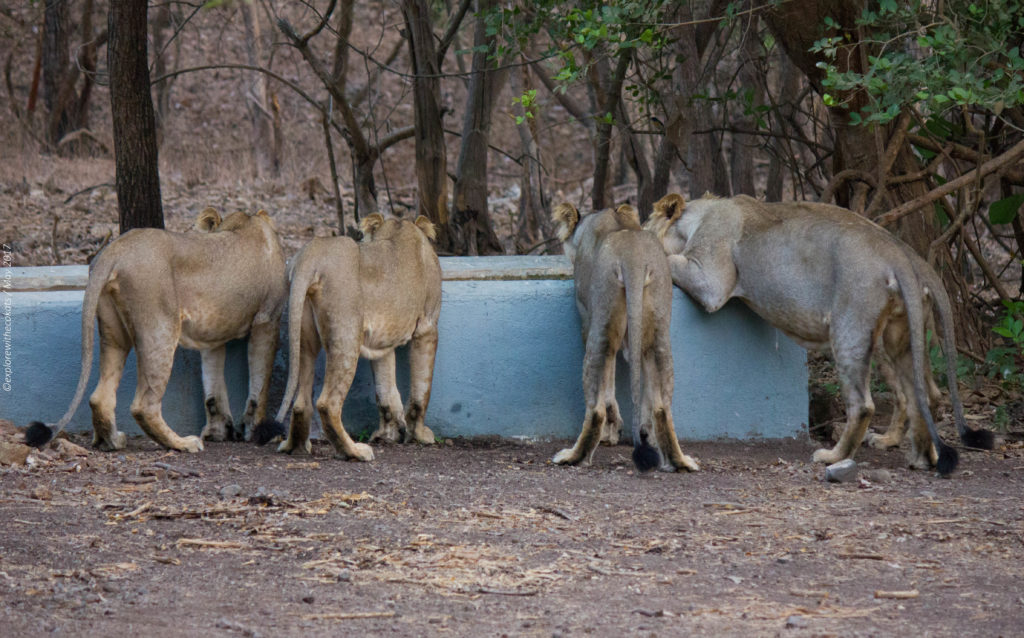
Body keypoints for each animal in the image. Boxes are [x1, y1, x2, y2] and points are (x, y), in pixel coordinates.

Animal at [24, 209, 288, 454]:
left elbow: (214, 388)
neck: (247, 222)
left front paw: (218, 431)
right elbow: (260, 385)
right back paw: (183, 443)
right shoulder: (268, 319)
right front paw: (260, 431)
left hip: (113, 333)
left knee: (100, 396)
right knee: (144, 405)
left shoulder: (212, 336)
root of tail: (115, 250)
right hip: (161, 329)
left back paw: (112, 441)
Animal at [258, 213, 442, 458]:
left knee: (301, 402)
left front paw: (389, 434)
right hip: (347, 335)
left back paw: (295, 446)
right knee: (327, 403)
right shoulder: (427, 327)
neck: (399, 228)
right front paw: (420, 435)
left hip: (305, 335)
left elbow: (386, 391)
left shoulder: (382, 344)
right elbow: (422, 389)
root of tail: (311, 256)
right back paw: (354, 452)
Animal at [552, 201, 704, 471]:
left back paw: (573, 456)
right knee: (662, 407)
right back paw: (679, 461)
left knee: (595, 409)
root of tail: (634, 259)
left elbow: (608, 382)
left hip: (599, 326)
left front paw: (610, 432)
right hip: (659, 333)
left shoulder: (588, 321)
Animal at [647, 192, 991, 477]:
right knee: (924, 393)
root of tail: (901, 255)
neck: (697, 216)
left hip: (850, 328)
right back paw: (922, 458)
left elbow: (669, 259)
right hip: (900, 335)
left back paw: (833, 456)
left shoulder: (710, 281)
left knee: (863, 404)